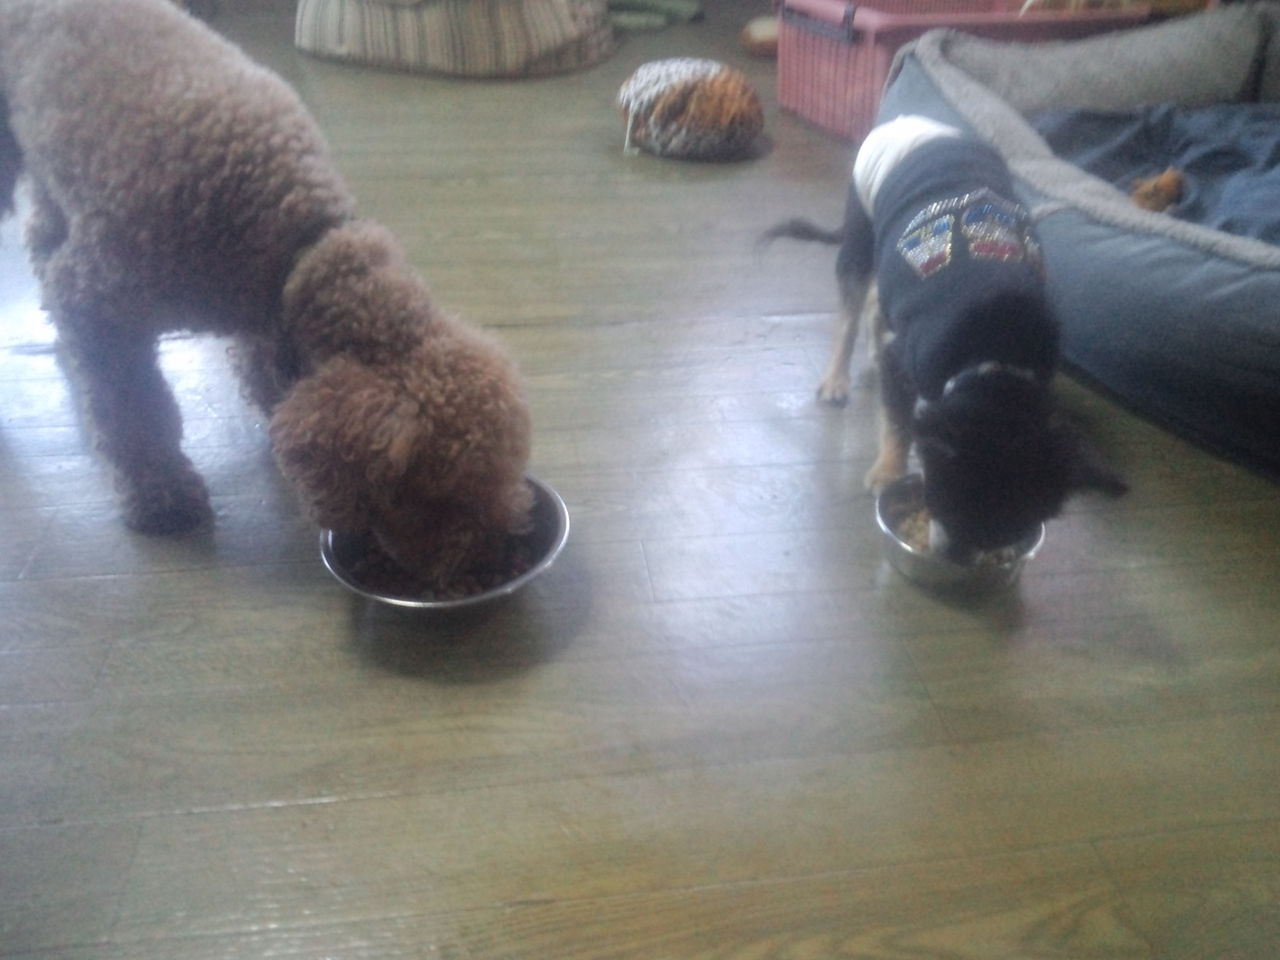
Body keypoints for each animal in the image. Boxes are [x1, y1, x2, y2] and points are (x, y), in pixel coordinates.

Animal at [0, 0, 533, 589]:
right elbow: (135, 415)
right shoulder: (98, 307)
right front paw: (161, 496)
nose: (494, 561)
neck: (289, 232)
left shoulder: (262, 302)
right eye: (441, 495)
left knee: (44, 227)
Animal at [765, 115, 1125, 557]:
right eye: (945, 502)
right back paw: (836, 380)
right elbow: (899, 419)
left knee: (876, 303)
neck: (996, 357)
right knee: (851, 306)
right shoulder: (906, 362)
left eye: (1014, 527)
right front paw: (889, 472)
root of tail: (913, 121)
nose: (956, 557)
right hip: (862, 228)